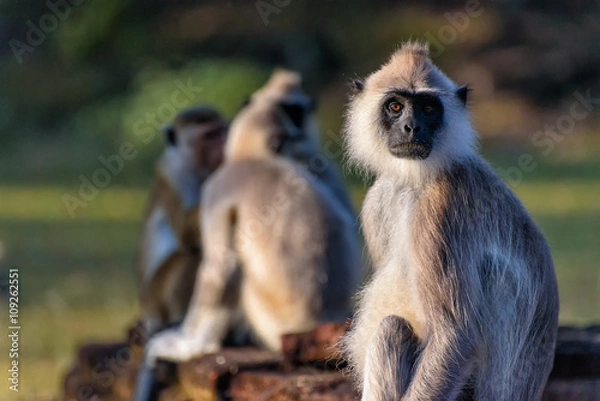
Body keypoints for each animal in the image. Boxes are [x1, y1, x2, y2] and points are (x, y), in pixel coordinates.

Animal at [136, 104, 227, 334]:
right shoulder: (174, 174)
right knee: (192, 254)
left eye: (222, 131)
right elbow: (186, 232)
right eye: (209, 135)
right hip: (156, 297)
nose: (224, 145)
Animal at [344, 42, 560, 398]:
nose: (412, 126)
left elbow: (454, 338)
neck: (414, 181)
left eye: (428, 108)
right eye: (395, 106)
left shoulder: (441, 205)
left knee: (392, 329)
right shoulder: (376, 200)